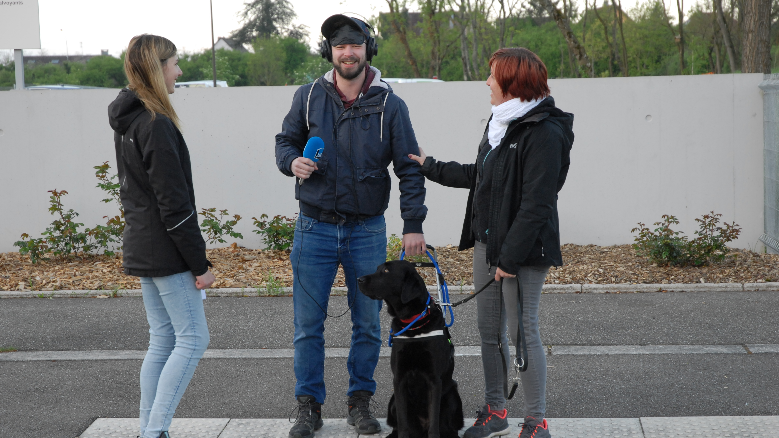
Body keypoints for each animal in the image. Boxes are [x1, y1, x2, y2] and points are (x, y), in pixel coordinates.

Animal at [358, 260, 464, 438]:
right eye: (378, 268)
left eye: (386, 271)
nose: (359, 279)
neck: (413, 324)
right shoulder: (399, 379)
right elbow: (403, 422)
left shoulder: (434, 380)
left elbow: (434, 422)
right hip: (393, 401)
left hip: (452, 396)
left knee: (450, 428)